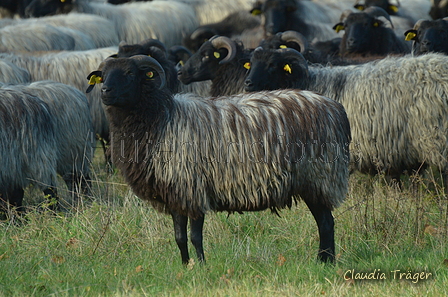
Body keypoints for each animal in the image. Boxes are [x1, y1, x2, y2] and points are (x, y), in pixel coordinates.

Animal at [87, 55, 352, 264]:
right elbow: (179, 237)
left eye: (130, 73)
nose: (105, 91)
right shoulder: (175, 193)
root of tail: (334, 108)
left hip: (319, 177)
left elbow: (195, 236)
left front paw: (202, 266)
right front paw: (185, 266)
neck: (161, 119)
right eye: (103, 76)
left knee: (326, 224)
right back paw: (324, 260)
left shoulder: (193, 188)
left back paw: (325, 262)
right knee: (325, 222)